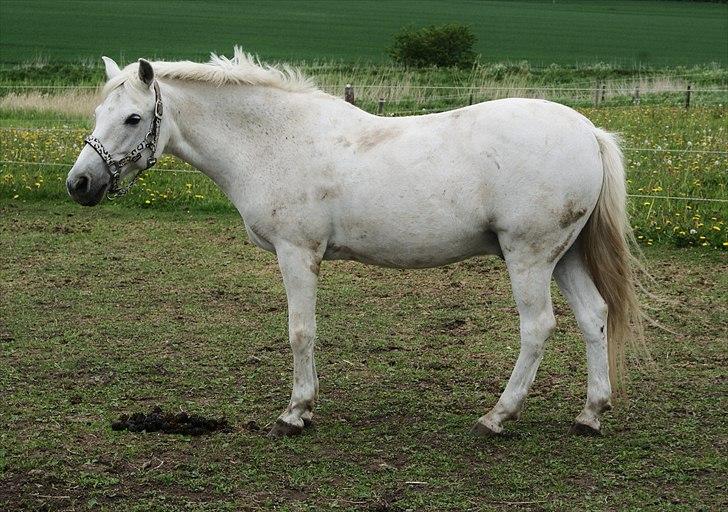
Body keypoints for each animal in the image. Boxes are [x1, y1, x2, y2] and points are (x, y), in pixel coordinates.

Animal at [67, 49, 644, 436]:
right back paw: (590, 413)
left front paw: (295, 412)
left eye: (134, 117)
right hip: (562, 257)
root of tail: (589, 131)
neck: (274, 139)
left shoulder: (297, 254)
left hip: (529, 257)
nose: (80, 184)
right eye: (97, 114)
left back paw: (497, 416)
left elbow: (301, 332)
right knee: (594, 316)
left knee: (538, 328)